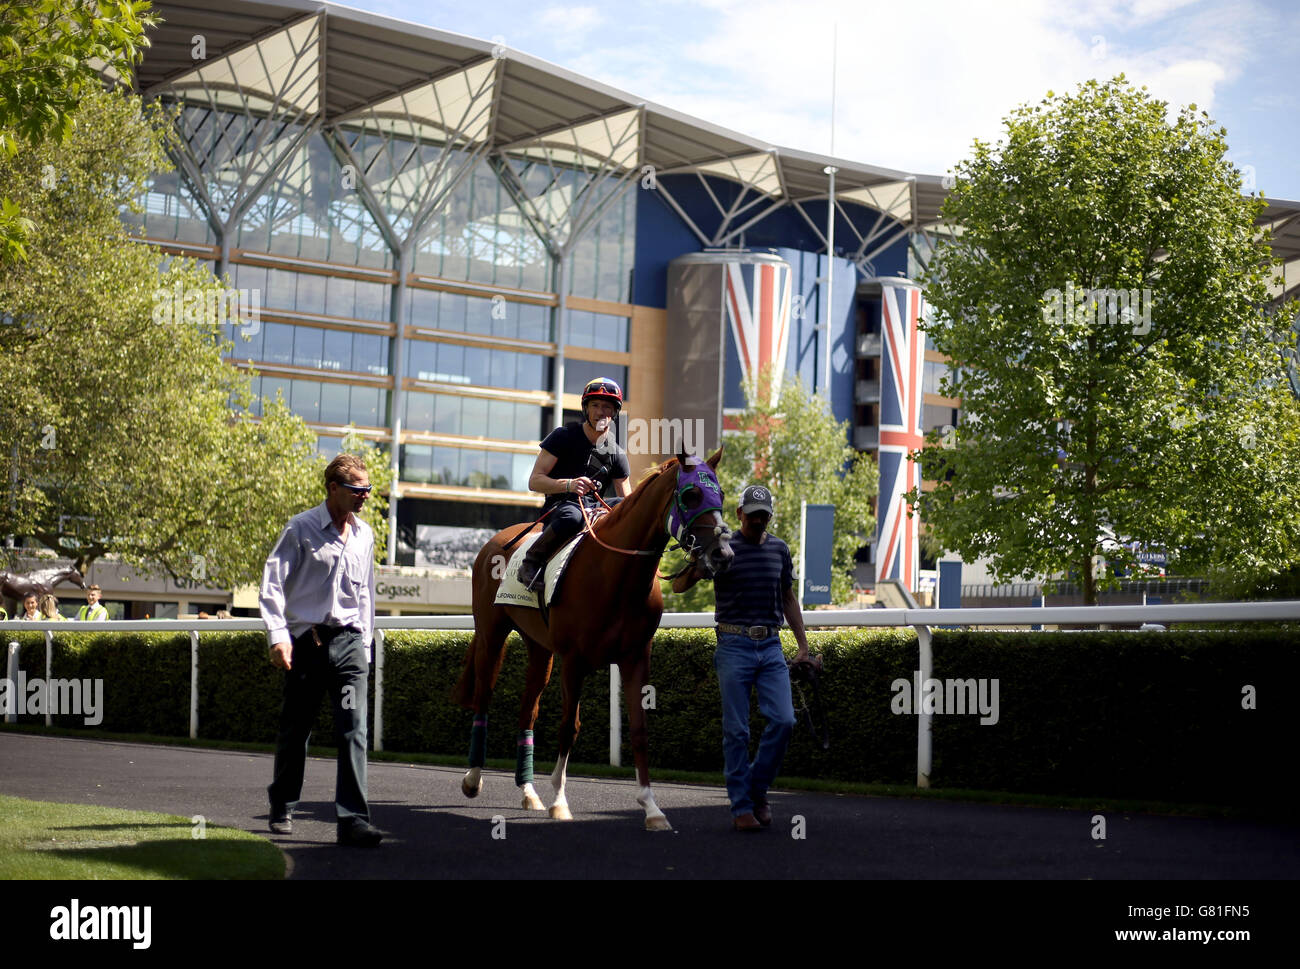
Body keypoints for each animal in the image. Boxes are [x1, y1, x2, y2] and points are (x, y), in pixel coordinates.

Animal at [452, 444, 733, 832]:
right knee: (483, 698)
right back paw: (473, 778)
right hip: (492, 633)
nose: (723, 554)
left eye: (720, 494)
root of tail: (495, 540)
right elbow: (569, 726)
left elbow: (639, 731)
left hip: (540, 649)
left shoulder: (635, 657)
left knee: (528, 710)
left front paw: (652, 808)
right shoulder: (574, 660)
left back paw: (528, 792)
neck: (615, 574)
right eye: (691, 495)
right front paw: (559, 800)